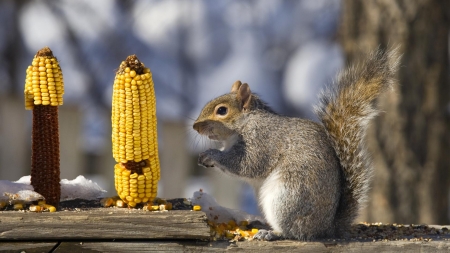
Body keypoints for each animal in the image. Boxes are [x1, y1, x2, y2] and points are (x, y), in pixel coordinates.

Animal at [192, 48, 400, 240]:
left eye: (222, 111)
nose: (195, 126)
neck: (245, 123)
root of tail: (325, 228)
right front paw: (205, 157)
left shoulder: (261, 139)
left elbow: (246, 164)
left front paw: (211, 154)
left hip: (286, 197)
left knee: (293, 232)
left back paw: (271, 233)